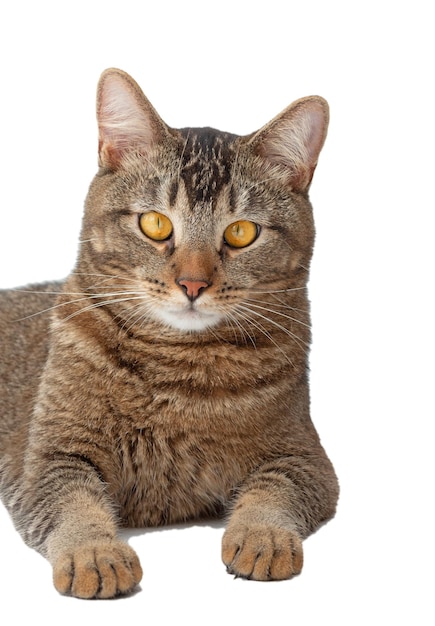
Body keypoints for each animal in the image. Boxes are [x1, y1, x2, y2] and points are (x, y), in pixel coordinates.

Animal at [0, 68, 340, 596]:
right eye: (156, 224)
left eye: (241, 232)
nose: (193, 284)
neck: (176, 375)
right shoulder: (47, 459)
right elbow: (75, 506)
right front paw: (95, 552)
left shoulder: (306, 458)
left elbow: (272, 494)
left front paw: (262, 536)